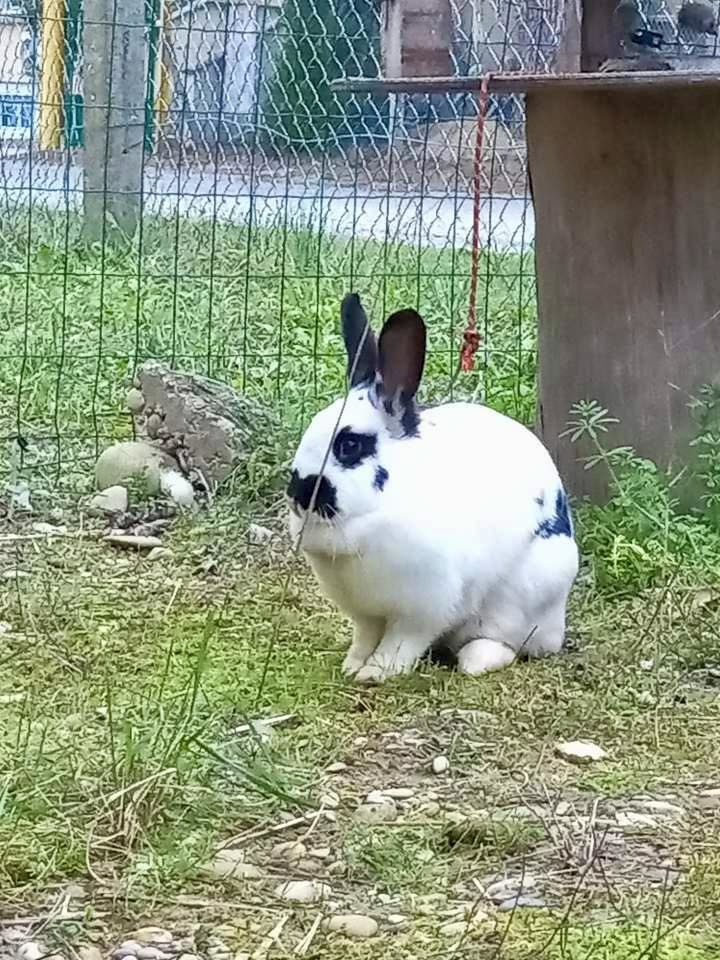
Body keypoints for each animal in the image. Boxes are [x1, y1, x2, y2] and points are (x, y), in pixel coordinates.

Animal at [287, 293, 579, 684]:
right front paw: (353, 666)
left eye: (349, 446)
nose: (299, 492)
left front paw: (375, 673)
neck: (365, 522)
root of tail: (556, 625)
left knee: (510, 642)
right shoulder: (366, 615)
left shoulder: (421, 610)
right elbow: (365, 637)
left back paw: (476, 659)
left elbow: (400, 643)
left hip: (523, 597)